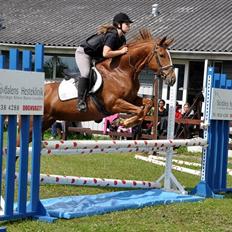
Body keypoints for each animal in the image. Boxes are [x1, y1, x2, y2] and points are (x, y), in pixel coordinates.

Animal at [18, 29, 174, 143]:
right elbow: (140, 111)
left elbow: (147, 104)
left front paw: (126, 122)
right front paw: (125, 122)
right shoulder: (114, 103)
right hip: (34, 121)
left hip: (46, 121)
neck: (121, 71)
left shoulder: (131, 98)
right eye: (161, 55)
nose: (172, 79)